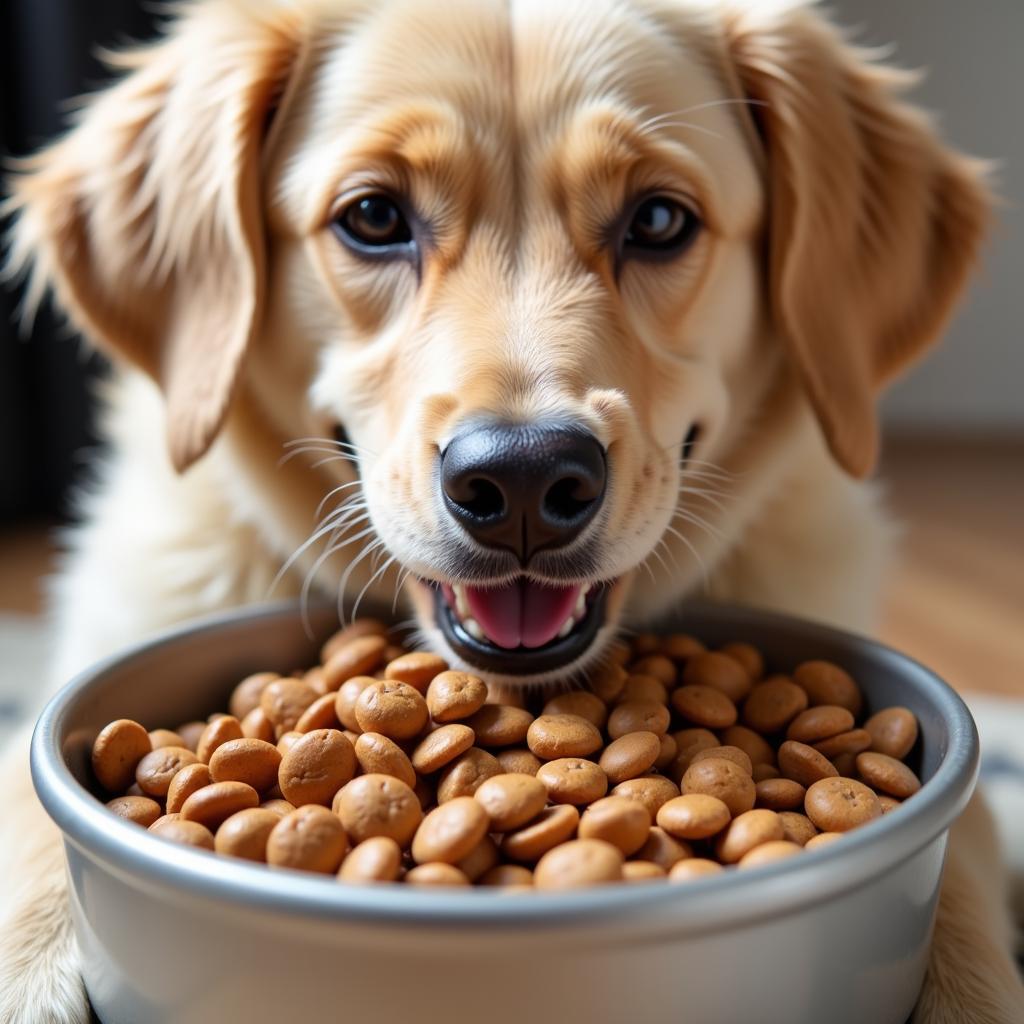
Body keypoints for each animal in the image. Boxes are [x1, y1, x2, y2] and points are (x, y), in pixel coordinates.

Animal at [2, 0, 1024, 1019]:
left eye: (660, 219)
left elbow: (968, 910)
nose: (524, 483)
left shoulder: (974, 829)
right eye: (373, 217)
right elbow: (31, 844)